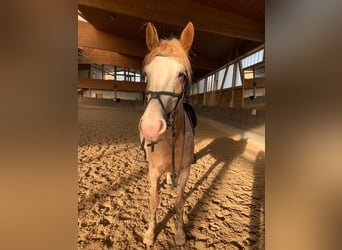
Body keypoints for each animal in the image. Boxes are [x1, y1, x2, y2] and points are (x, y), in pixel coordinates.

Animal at [139, 22, 196, 246]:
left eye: (182, 75)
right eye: (146, 75)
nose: (151, 127)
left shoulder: (185, 171)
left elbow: (179, 202)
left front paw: (179, 234)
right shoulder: (154, 171)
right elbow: (153, 201)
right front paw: (149, 234)